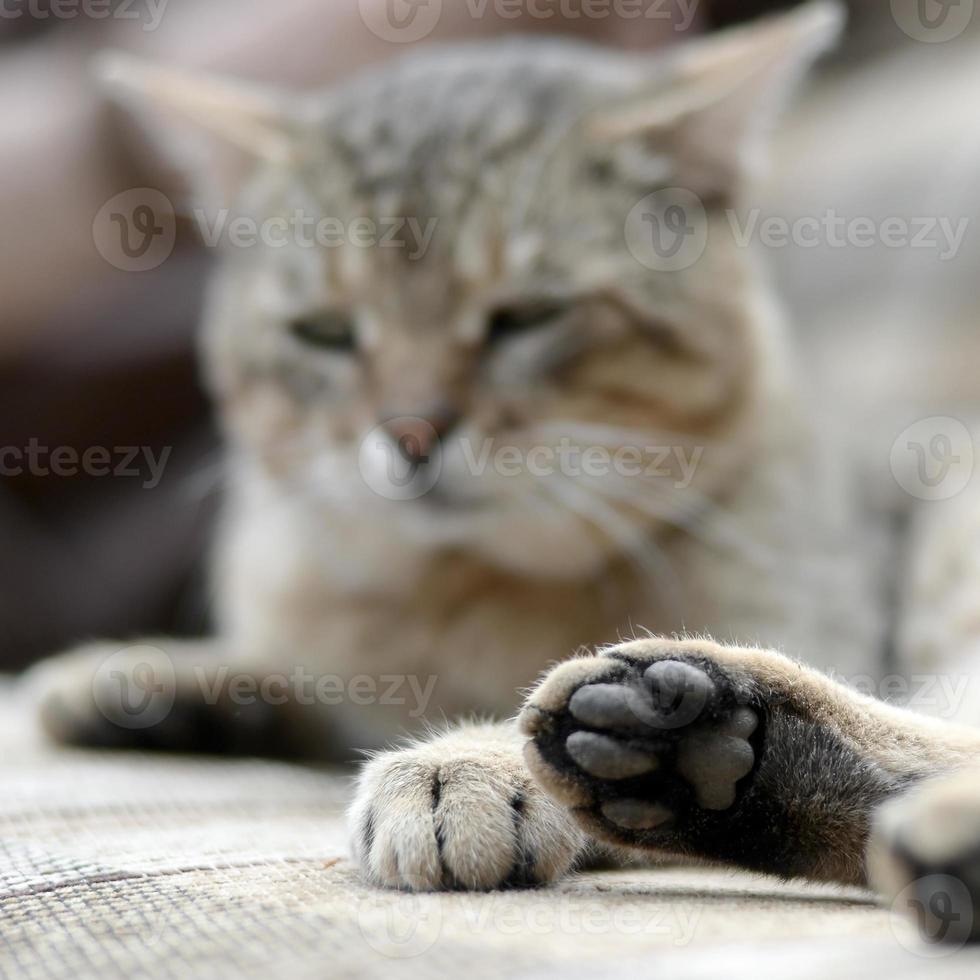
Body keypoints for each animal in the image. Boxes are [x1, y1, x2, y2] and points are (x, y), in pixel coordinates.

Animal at [26, 0, 980, 936]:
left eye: (525, 317)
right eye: (325, 332)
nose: (410, 431)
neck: (462, 591)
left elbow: (505, 722)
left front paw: (470, 765)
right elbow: (306, 683)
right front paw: (159, 679)